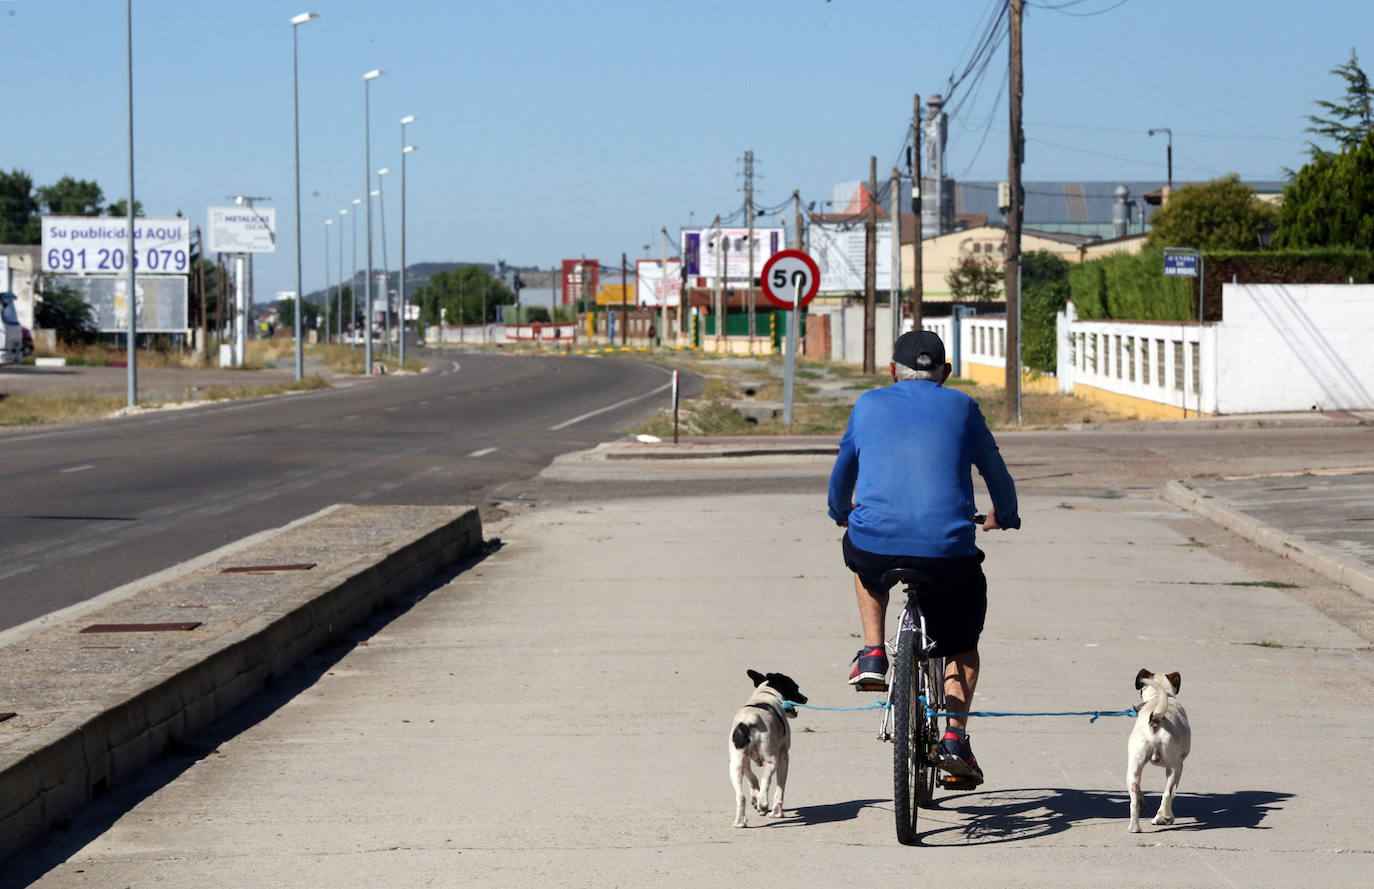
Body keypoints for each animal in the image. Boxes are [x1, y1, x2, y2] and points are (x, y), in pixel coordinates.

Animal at [730, 670, 802, 829]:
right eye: (795, 688)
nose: (805, 698)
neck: (766, 693)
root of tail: (750, 720)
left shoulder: (746, 760)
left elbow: (752, 778)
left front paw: (755, 796)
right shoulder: (784, 757)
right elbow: (780, 788)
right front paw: (776, 812)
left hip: (735, 765)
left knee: (740, 796)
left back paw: (740, 822)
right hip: (771, 760)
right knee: (767, 778)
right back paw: (763, 804)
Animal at [1126, 667, 1192, 835]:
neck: (1157, 697)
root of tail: (1155, 717)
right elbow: (1172, 793)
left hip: (1134, 767)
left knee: (1134, 798)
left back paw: (1134, 828)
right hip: (1174, 767)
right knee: (1167, 793)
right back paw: (1163, 817)